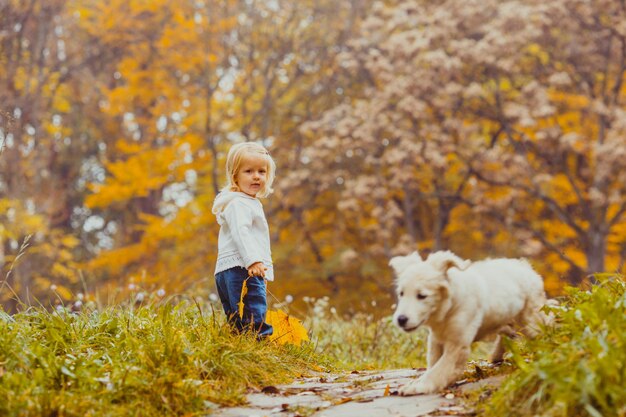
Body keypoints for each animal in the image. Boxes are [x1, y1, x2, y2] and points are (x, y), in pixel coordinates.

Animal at [390, 249, 544, 394]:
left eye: (422, 296)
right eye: (401, 293)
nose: (401, 319)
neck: (449, 306)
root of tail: (525, 266)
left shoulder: (457, 345)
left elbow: (439, 368)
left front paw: (418, 386)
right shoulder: (436, 338)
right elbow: (433, 363)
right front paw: (416, 383)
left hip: (530, 317)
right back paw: (495, 356)